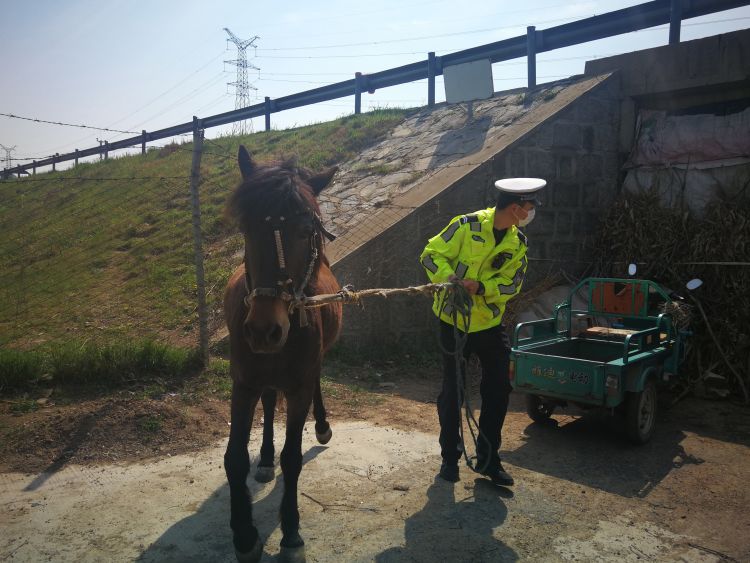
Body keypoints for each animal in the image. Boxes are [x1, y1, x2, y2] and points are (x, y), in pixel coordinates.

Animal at [222, 148, 342, 560]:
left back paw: (321, 426)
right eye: (246, 229)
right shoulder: (243, 385)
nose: (264, 329)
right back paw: (265, 457)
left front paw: (290, 533)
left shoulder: (299, 386)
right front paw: (244, 536)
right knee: (270, 400)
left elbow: (292, 459)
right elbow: (234, 458)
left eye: (305, 232)